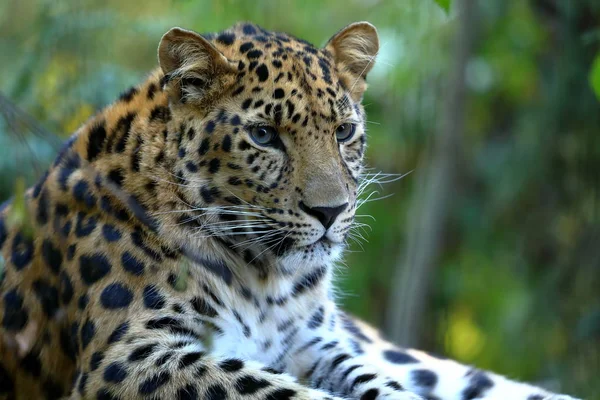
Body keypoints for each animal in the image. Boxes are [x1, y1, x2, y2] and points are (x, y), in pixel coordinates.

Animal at [0, 21, 580, 400]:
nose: (331, 211)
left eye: (343, 131)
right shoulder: (130, 356)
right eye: (263, 136)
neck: (263, 279)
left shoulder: (313, 343)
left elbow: (370, 378)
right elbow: (273, 390)